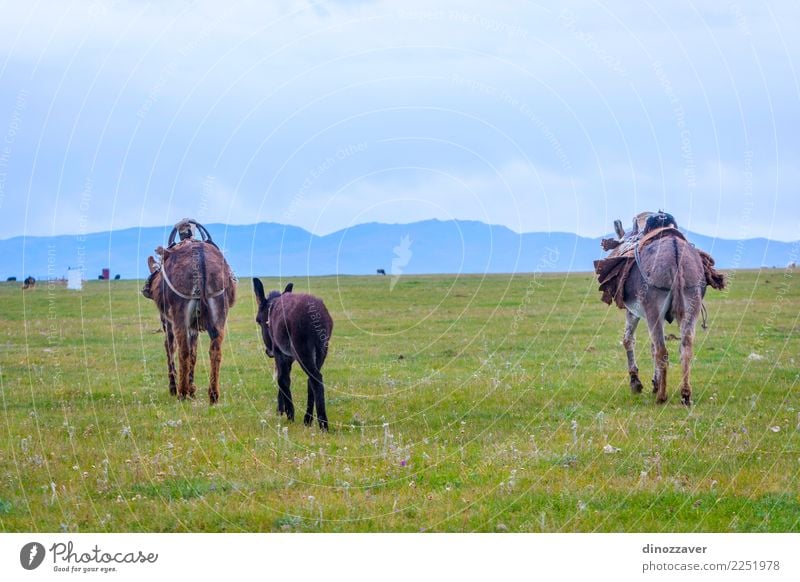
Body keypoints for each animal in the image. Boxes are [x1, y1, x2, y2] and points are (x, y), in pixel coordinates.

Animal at [143, 221, 236, 404]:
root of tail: (200, 263)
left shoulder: (167, 321)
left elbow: (170, 347)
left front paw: (175, 388)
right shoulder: (194, 326)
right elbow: (194, 352)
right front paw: (192, 388)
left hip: (180, 315)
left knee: (182, 350)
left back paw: (181, 392)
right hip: (219, 312)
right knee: (215, 350)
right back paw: (213, 394)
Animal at [253, 278, 334, 434]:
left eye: (258, 320)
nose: (268, 352)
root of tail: (316, 314)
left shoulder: (280, 352)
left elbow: (282, 380)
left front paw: (289, 415)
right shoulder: (288, 358)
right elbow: (284, 379)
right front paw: (281, 410)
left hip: (302, 350)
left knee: (316, 378)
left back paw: (323, 425)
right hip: (321, 351)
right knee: (311, 380)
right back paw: (308, 419)